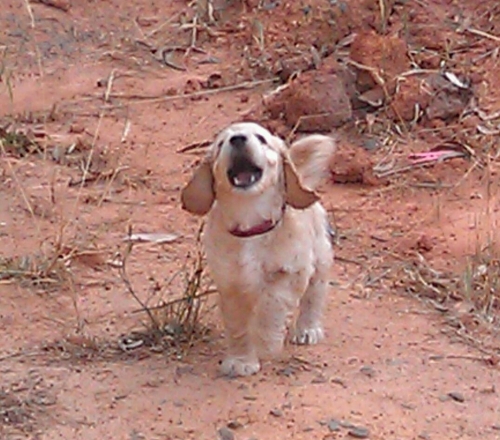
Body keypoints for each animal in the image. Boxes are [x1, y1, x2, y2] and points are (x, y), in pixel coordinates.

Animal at [181, 122, 334, 376]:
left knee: (315, 294)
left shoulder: (290, 272)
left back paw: (307, 329)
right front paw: (241, 360)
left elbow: (271, 305)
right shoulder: (230, 283)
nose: (238, 139)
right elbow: (238, 325)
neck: (250, 222)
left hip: (320, 258)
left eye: (261, 139)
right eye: (221, 143)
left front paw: (266, 342)